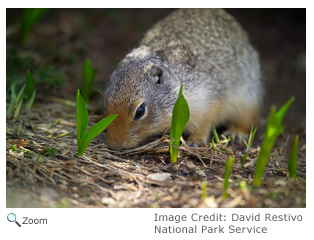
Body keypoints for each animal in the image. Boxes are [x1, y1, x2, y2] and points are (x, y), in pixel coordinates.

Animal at [103, 8, 262, 150]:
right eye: (106, 104)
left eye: (140, 111)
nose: (114, 146)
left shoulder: (207, 101)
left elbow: (203, 125)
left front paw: (195, 140)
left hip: (247, 99)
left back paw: (236, 133)